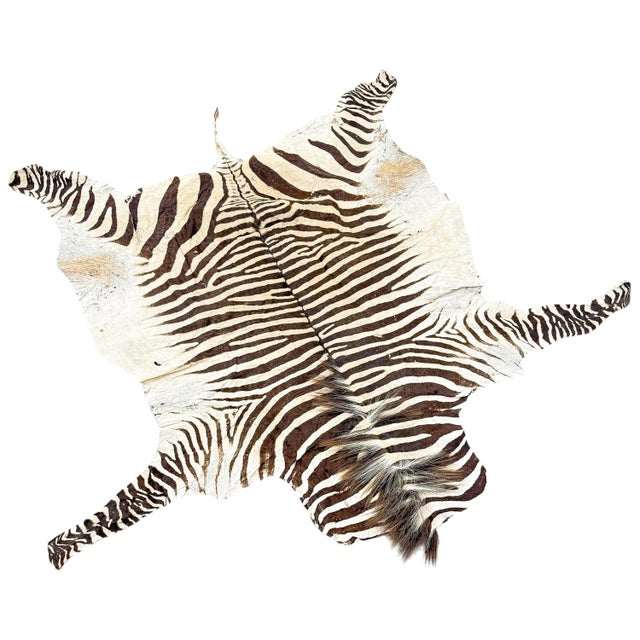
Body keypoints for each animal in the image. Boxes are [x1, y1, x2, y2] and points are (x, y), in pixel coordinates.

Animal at [9, 71, 630, 569]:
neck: (369, 435)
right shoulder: (221, 434)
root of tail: (235, 175)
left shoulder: (448, 339)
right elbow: (137, 497)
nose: (432, 535)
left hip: (281, 187)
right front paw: (62, 547)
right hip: (149, 230)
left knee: (355, 122)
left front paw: (617, 296)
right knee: (94, 205)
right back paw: (26, 176)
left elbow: (553, 321)